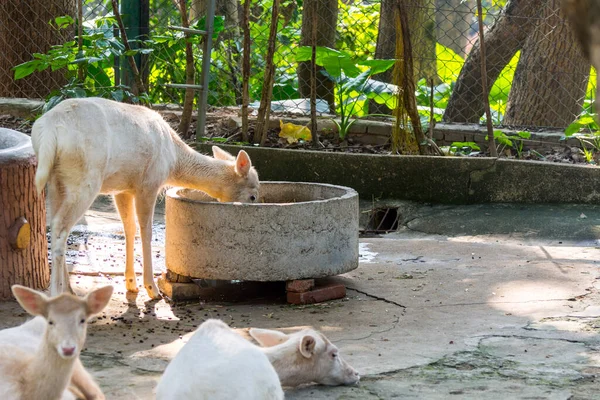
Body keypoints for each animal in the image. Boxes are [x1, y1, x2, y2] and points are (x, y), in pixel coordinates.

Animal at [31, 96, 258, 296]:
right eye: (254, 196)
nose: (254, 206)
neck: (174, 160)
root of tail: (49, 131)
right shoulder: (149, 183)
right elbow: (146, 230)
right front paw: (152, 289)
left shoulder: (123, 188)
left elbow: (129, 228)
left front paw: (131, 284)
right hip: (85, 178)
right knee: (60, 225)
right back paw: (56, 294)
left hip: (56, 180)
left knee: (57, 224)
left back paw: (68, 289)